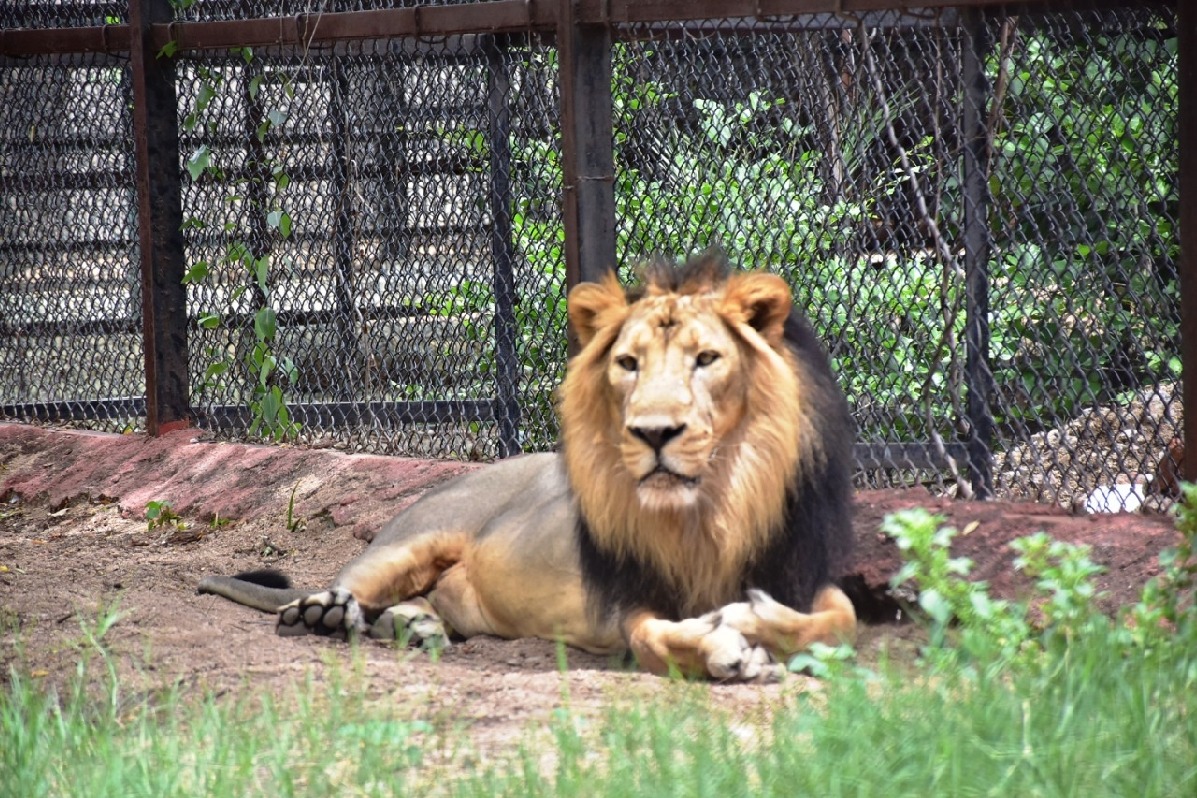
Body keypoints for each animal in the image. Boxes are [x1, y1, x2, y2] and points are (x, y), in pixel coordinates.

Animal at [203, 254, 861, 679]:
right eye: (628, 363)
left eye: (706, 359)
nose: (654, 432)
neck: (708, 508)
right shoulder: (627, 603)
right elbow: (656, 639)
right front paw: (728, 646)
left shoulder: (804, 573)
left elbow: (840, 620)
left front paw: (750, 620)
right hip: (406, 543)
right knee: (342, 592)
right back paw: (323, 614)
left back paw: (416, 628)